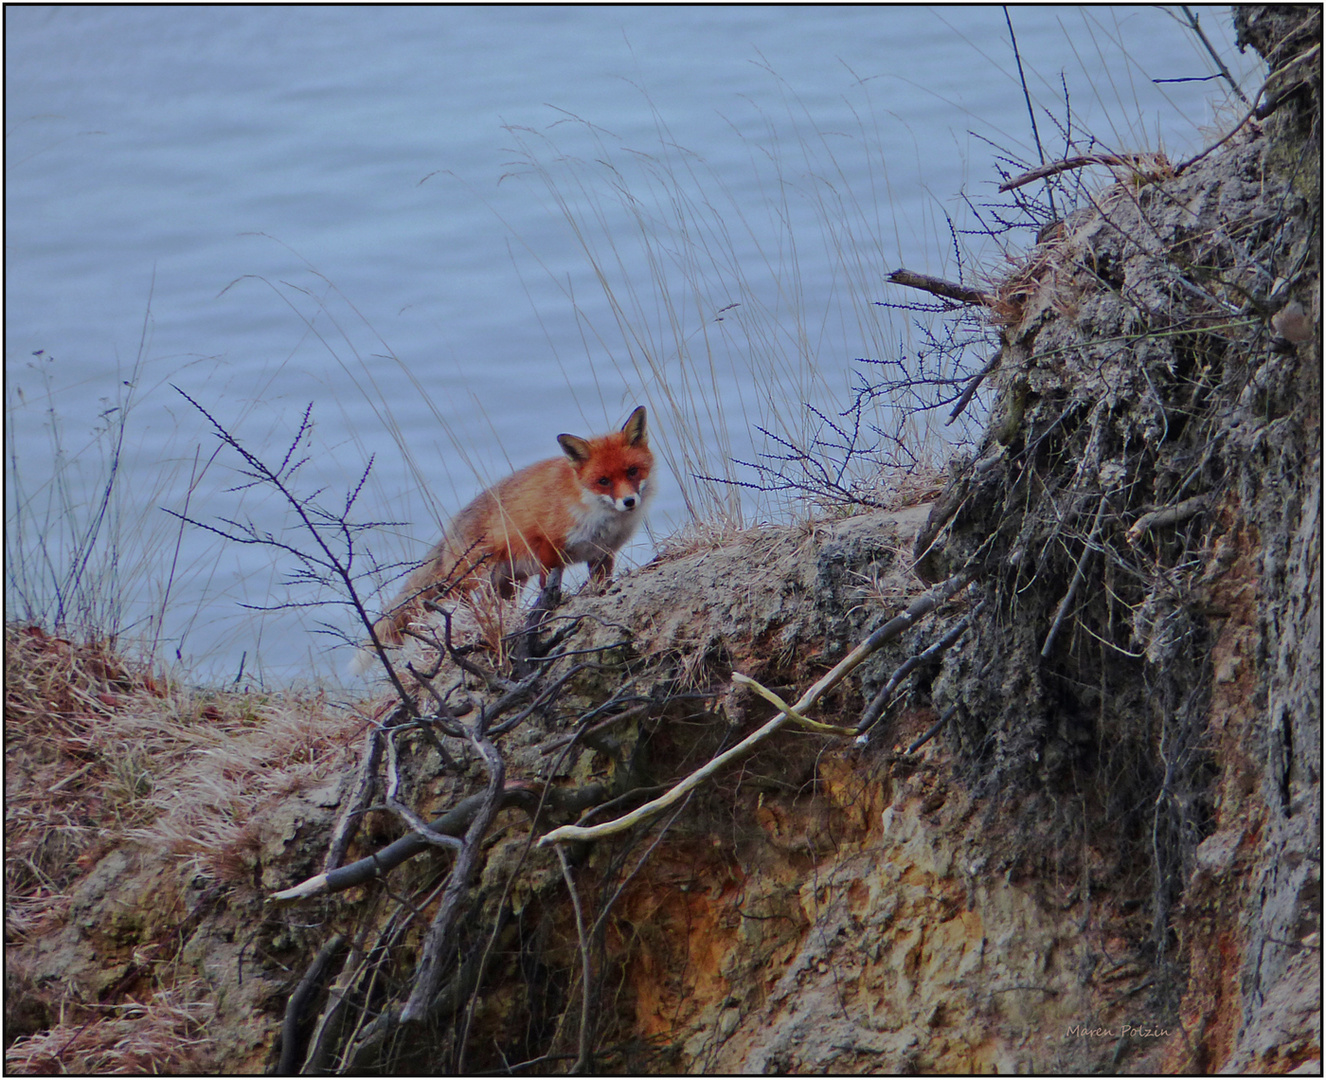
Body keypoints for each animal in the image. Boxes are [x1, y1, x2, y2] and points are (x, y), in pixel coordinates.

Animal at [365, 405, 655, 655]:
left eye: (632, 471)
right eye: (603, 481)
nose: (629, 502)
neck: (596, 514)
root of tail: (450, 530)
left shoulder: (602, 554)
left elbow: (601, 584)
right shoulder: (547, 546)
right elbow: (548, 588)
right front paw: (549, 612)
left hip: (509, 584)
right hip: (475, 578)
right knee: (462, 604)